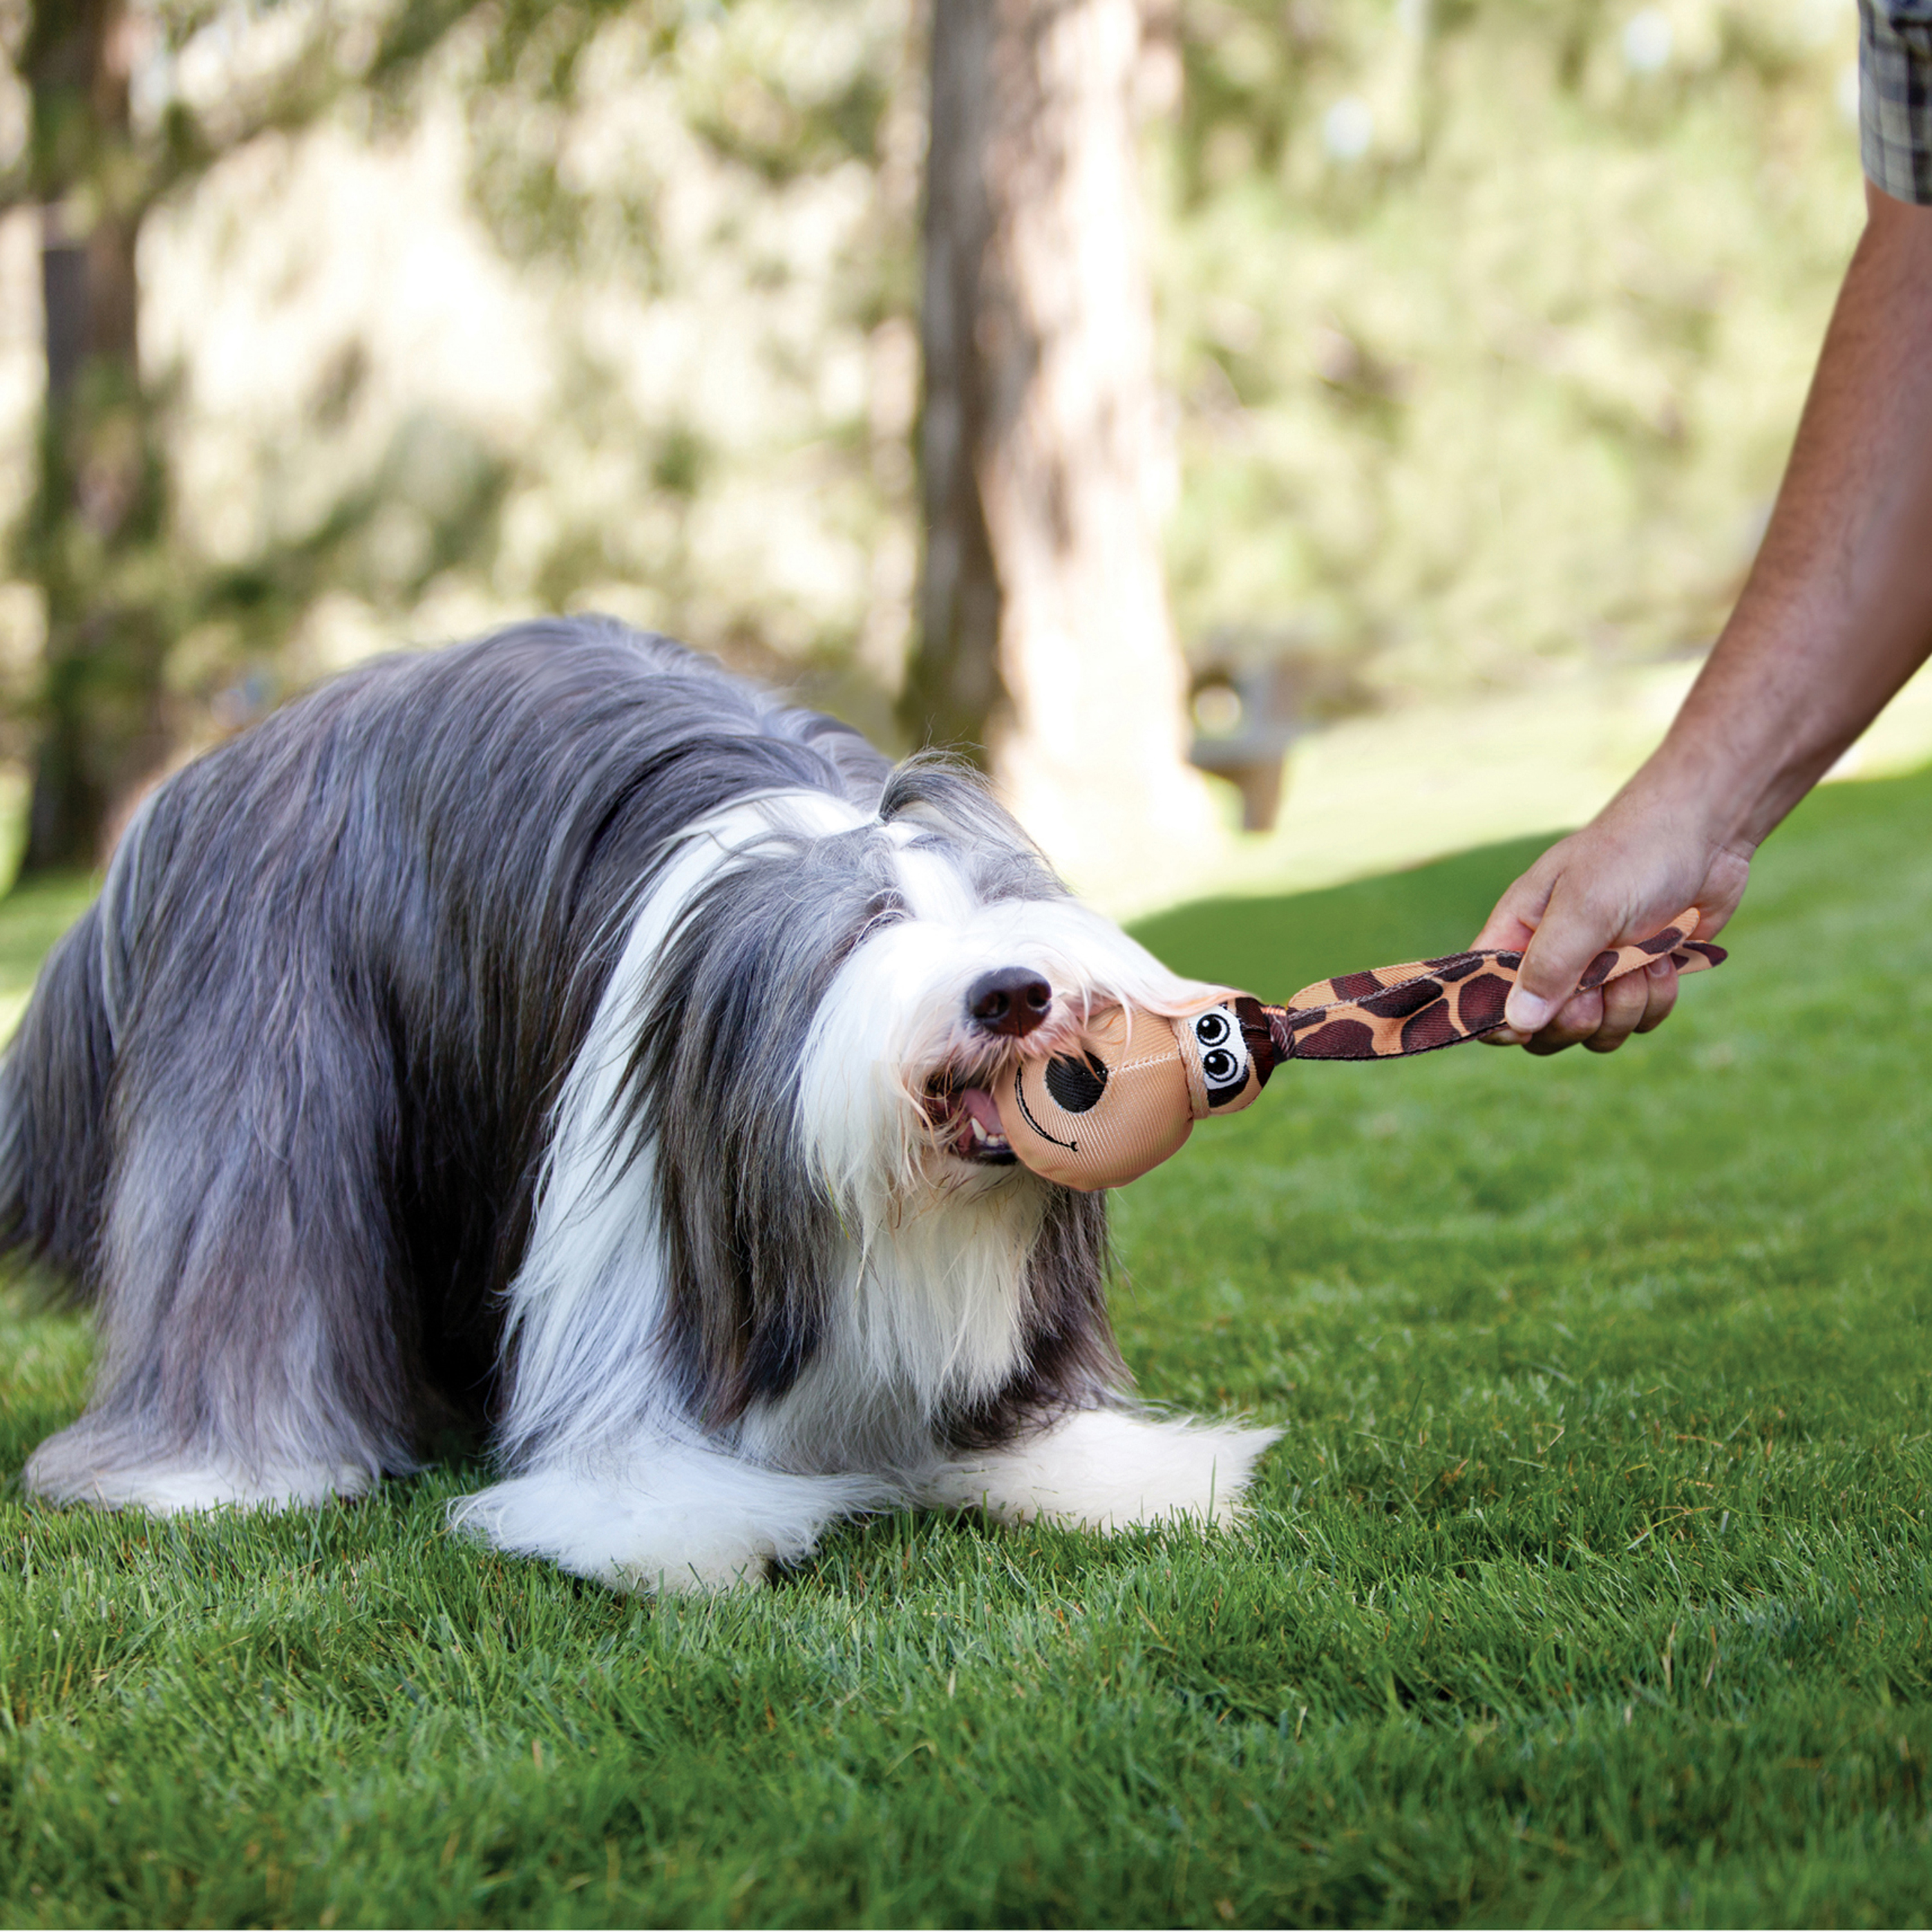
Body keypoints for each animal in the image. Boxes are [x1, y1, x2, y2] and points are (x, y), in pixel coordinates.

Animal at [3, 618, 1283, 1584]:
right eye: (867, 928)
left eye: (1001, 899)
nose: (1014, 992)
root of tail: (215, 775)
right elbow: (635, 1457)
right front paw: (673, 1518)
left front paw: (1105, 1473)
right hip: (271, 1043)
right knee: (251, 1249)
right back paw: (219, 1471)